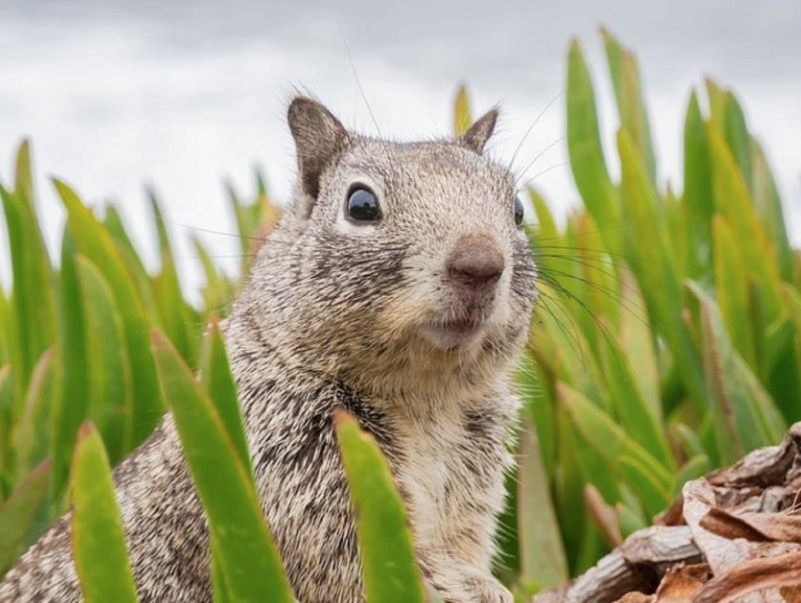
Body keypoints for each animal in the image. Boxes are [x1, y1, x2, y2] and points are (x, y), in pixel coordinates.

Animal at [1, 96, 536, 600]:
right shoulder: (294, 470)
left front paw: (485, 584)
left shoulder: (472, 476)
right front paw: (466, 588)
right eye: (361, 205)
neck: (425, 396)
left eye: (517, 209)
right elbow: (369, 565)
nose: (480, 264)